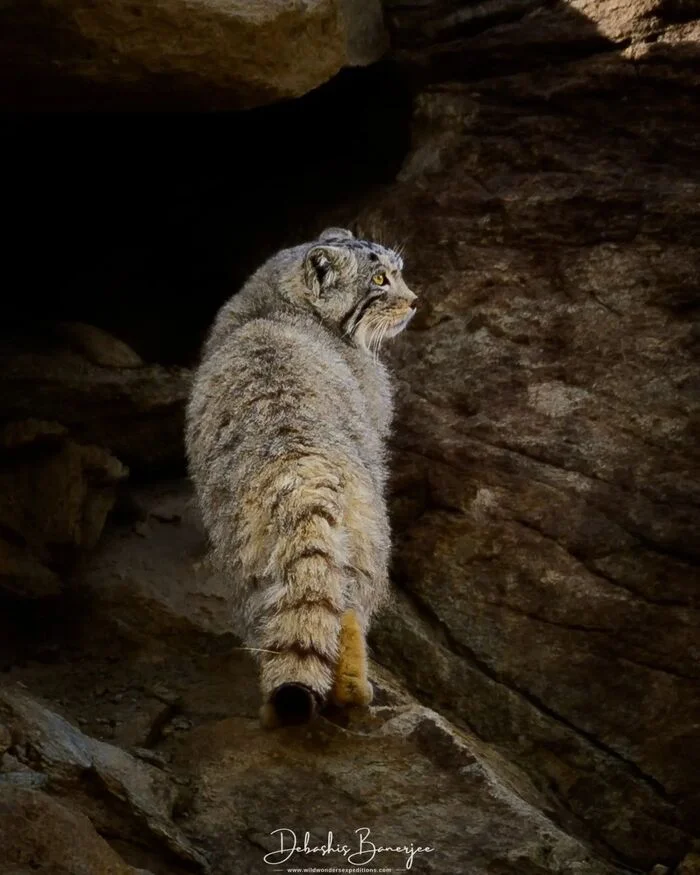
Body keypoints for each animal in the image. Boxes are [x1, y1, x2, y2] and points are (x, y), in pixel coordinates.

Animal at [185, 229, 416, 728]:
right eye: (381, 279)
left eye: (398, 272)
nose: (414, 301)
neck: (273, 302)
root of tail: (296, 464)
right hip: (371, 538)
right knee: (349, 610)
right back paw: (353, 691)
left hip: (248, 560)